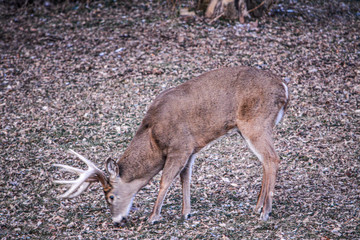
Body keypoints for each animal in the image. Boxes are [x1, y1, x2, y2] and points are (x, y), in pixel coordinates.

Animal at [53, 66, 290, 227]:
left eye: (110, 196)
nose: (117, 221)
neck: (153, 138)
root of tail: (284, 89)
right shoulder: (191, 149)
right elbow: (185, 178)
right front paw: (186, 212)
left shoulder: (179, 147)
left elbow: (165, 181)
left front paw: (153, 216)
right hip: (249, 128)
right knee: (265, 161)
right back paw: (257, 206)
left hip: (255, 123)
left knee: (272, 159)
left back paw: (265, 212)